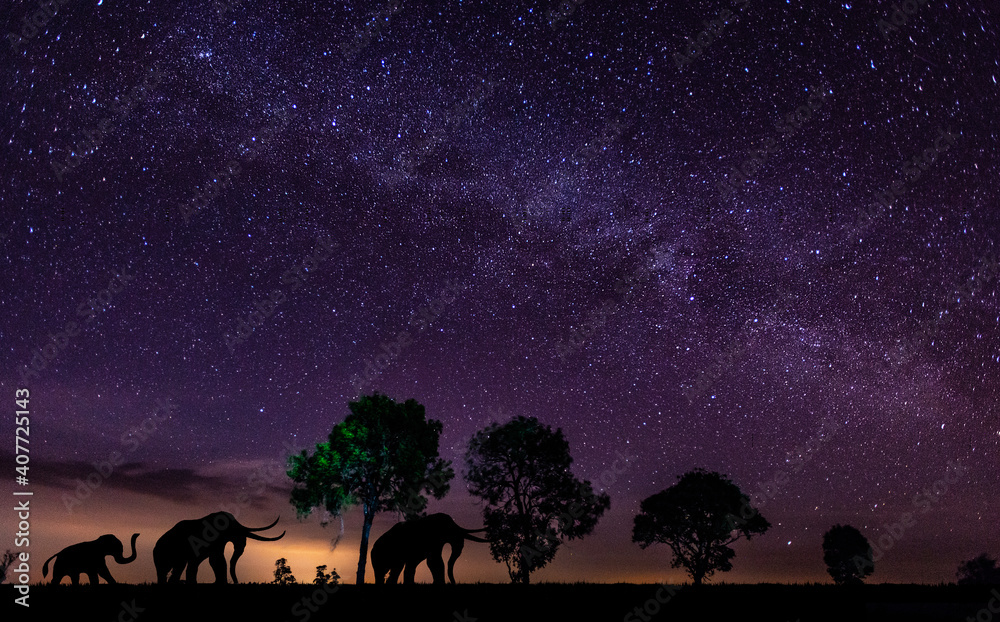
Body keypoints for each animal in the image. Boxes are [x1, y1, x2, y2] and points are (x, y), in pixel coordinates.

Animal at [153, 512, 286, 584]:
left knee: (177, 569)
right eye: (234, 531)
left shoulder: (217, 543)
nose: (237, 582)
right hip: (162, 555)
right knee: (165, 571)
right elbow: (217, 560)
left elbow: (214, 561)